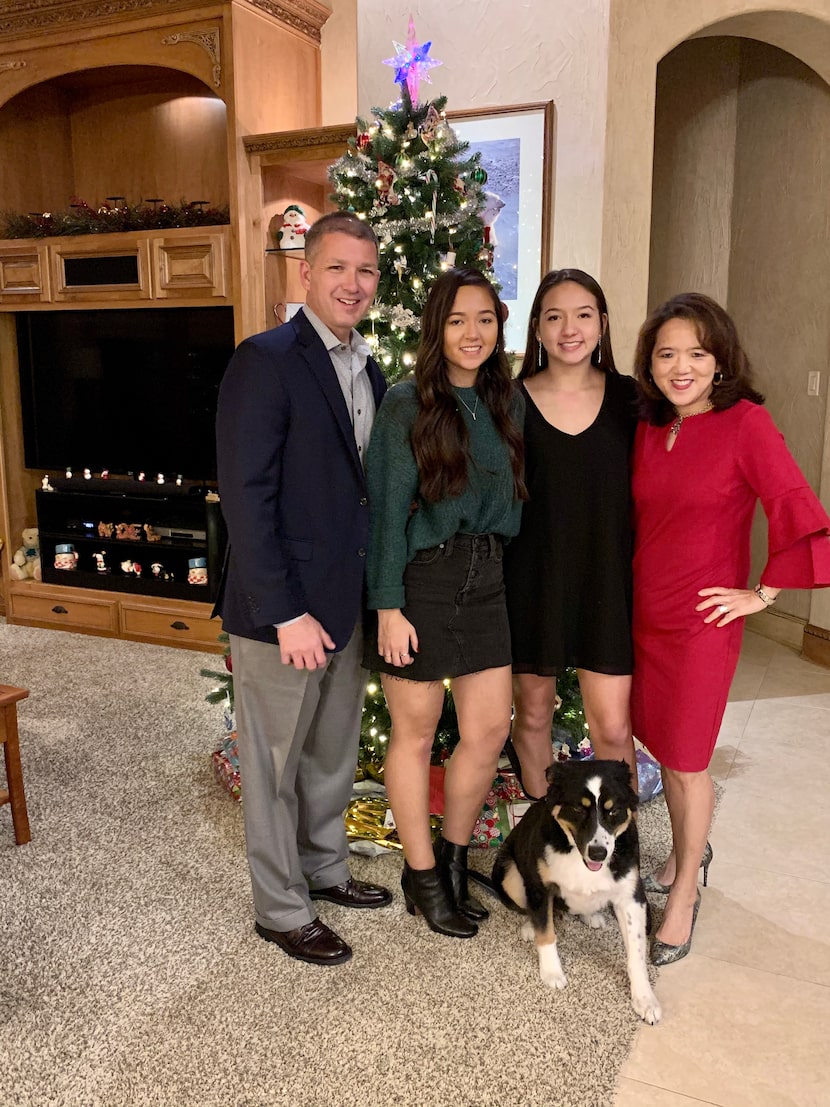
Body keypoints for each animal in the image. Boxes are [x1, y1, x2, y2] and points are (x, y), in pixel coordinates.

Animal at [493, 757, 664, 1022]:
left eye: (613, 810)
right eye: (577, 809)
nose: (598, 853)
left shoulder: (630, 897)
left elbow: (636, 953)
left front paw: (644, 999)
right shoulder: (540, 888)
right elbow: (546, 934)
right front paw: (552, 973)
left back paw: (590, 915)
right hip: (511, 875)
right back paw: (531, 926)